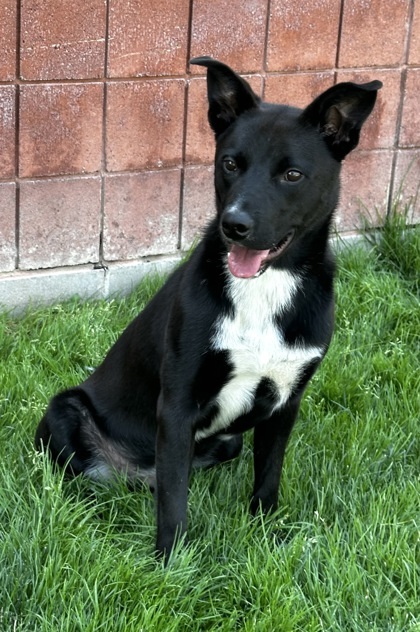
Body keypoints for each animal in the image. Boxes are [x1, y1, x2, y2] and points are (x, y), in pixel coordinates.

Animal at [35, 55, 380, 556]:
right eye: (230, 163)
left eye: (292, 174)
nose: (233, 225)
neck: (265, 286)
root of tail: (131, 473)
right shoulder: (178, 403)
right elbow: (175, 500)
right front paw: (171, 562)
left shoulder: (286, 402)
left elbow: (268, 476)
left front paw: (264, 530)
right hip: (65, 412)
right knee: (101, 478)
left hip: (226, 441)